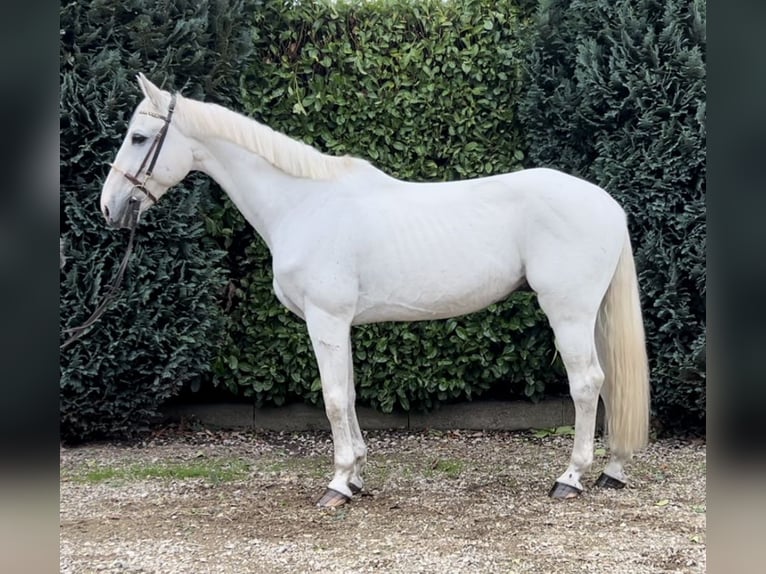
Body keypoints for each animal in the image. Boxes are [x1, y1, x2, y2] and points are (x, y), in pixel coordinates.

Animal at [99, 75, 652, 508]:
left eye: (139, 136)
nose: (110, 207)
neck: (304, 203)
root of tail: (606, 203)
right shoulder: (338, 323)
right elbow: (348, 393)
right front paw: (357, 477)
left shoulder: (324, 319)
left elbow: (332, 398)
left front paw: (338, 484)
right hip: (589, 315)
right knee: (609, 385)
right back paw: (613, 471)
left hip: (568, 313)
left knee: (587, 384)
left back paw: (571, 478)